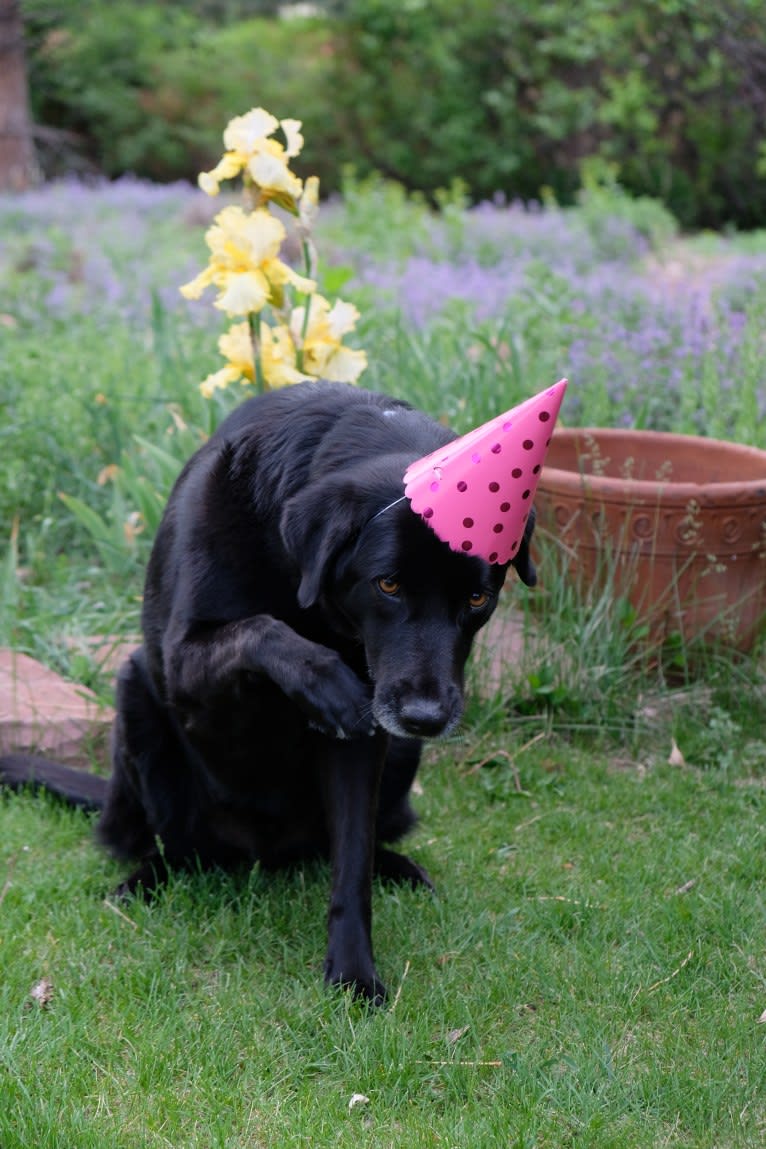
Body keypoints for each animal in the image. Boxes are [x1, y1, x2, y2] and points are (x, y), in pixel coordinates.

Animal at [1, 381, 539, 1001]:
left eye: (478, 599)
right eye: (388, 584)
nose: (426, 717)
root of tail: (266, 851)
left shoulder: (365, 741)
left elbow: (351, 860)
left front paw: (353, 973)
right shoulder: (183, 662)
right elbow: (257, 629)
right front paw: (324, 679)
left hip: (399, 757)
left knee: (345, 843)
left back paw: (396, 866)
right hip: (137, 698)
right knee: (174, 848)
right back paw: (143, 880)